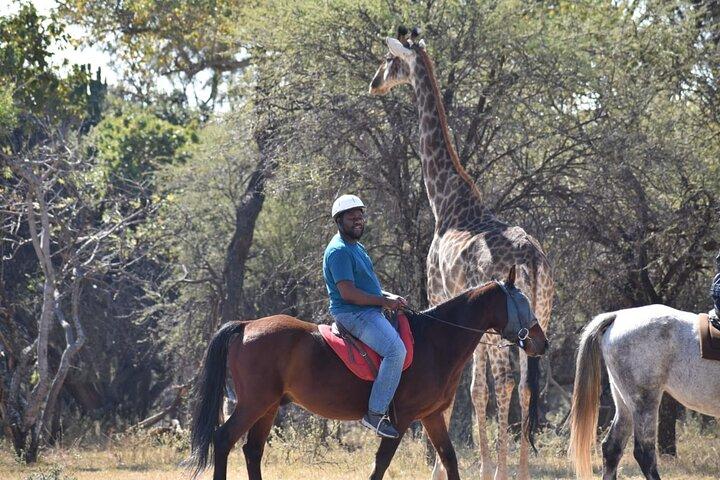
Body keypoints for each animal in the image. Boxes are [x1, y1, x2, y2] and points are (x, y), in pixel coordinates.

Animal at [188, 266, 548, 480]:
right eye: (524, 303)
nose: (542, 342)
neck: (436, 339)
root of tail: (246, 325)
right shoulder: (401, 420)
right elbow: (380, 465)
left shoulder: (431, 416)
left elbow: (449, 458)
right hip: (254, 403)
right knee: (223, 439)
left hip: (269, 406)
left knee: (252, 450)